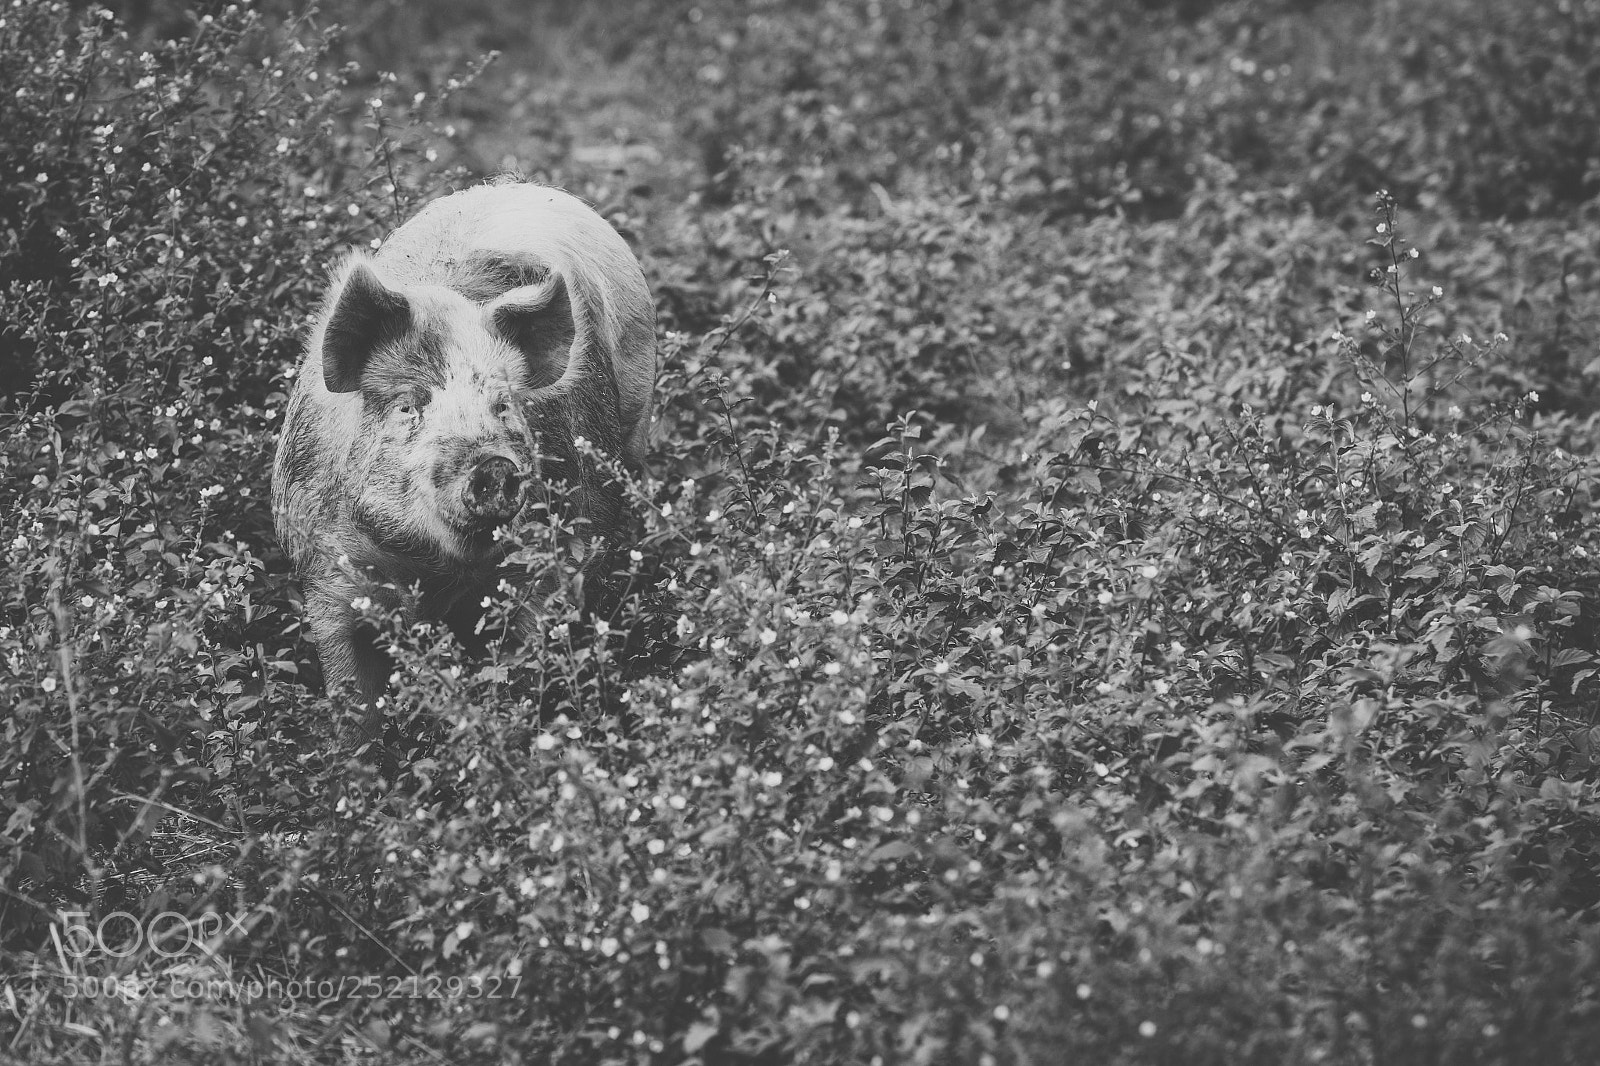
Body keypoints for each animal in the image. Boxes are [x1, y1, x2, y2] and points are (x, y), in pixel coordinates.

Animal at [271, 179, 656, 741]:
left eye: (502, 404)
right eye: (408, 405)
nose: (492, 465)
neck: (435, 571)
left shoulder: (547, 563)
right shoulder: (327, 575)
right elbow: (352, 697)